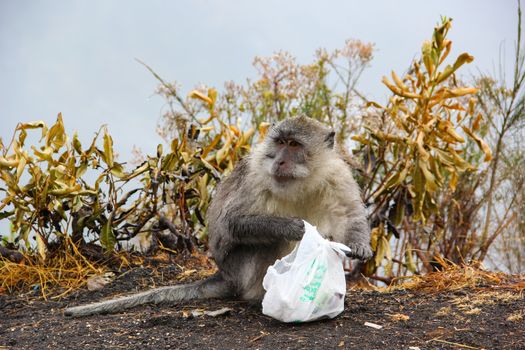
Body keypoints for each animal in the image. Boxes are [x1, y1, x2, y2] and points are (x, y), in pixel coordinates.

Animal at [63, 115, 370, 318]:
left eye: (294, 145)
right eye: (281, 142)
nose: (280, 160)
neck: (300, 181)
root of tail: (225, 274)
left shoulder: (336, 175)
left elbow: (350, 213)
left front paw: (360, 246)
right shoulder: (256, 174)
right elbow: (231, 223)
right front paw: (292, 227)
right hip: (241, 269)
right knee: (264, 244)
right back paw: (262, 296)